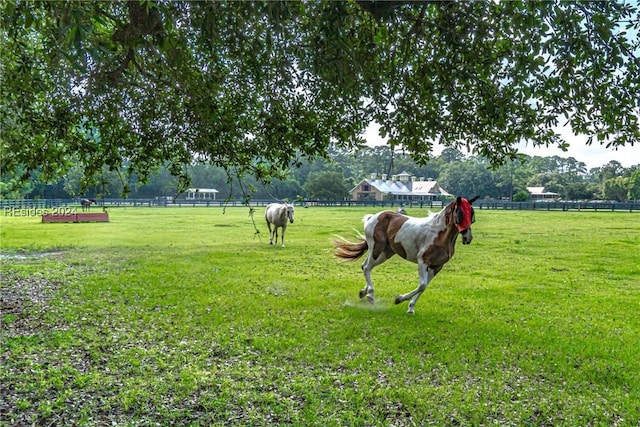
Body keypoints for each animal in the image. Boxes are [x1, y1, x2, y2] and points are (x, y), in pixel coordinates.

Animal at [336, 196, 476, 314]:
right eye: (460, 213)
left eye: (472, 215)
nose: (467, 238)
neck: (439, 234)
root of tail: (372, 217)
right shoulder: (422, 261)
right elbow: (422, 285)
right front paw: (399, 299)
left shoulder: (437, 266)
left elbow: (424, 286)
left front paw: (410, 308)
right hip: (376, 248)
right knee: (366, 267)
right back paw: (370, 295)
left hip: (385, 253)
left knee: (365, 266)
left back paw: (363, 292)